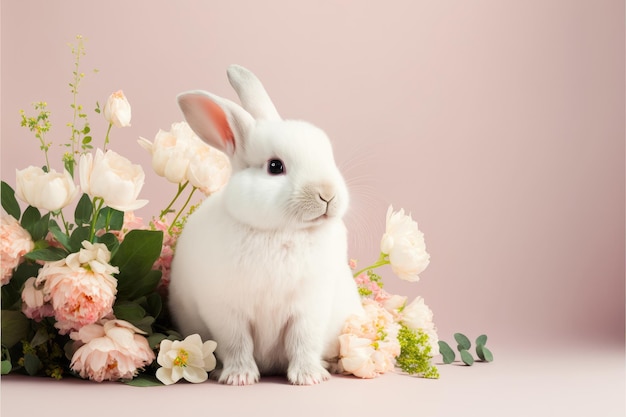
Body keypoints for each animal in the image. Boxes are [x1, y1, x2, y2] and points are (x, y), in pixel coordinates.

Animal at [168, 65, 364, 386]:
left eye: (329, 157)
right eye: (275, 166)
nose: (327, 194)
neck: (281, 231)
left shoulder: (308, 309)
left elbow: (303, 342)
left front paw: (309, 377)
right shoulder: (227, 311)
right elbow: (237, 344)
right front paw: (239, 376)